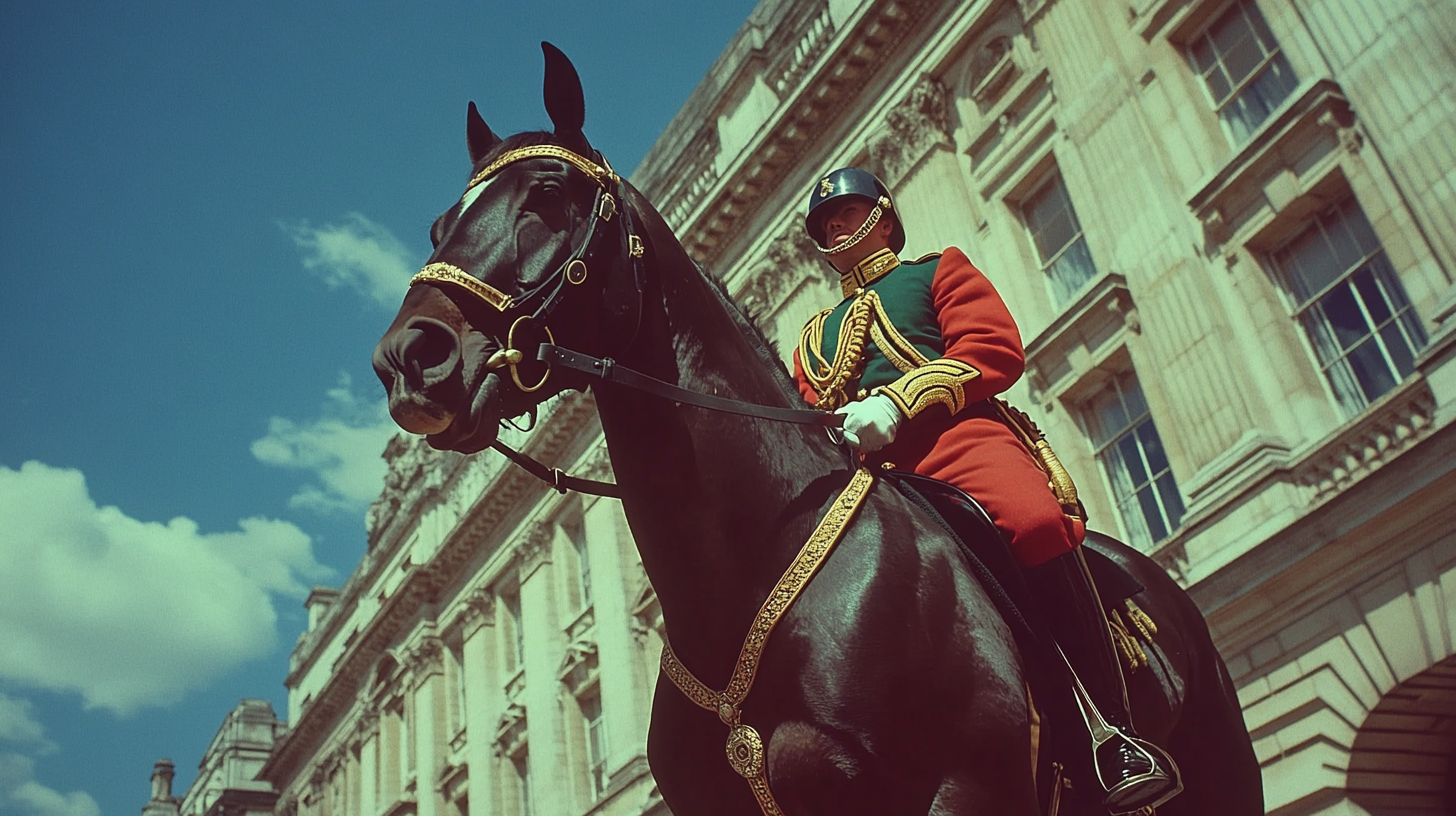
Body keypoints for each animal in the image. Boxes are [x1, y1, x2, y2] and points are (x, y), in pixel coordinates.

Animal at [375, 44, 1263, 816]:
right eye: (440, 224)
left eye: (551, 191)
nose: (409, 359)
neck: (743, 571)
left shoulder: (968, 788)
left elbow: (986, 346)